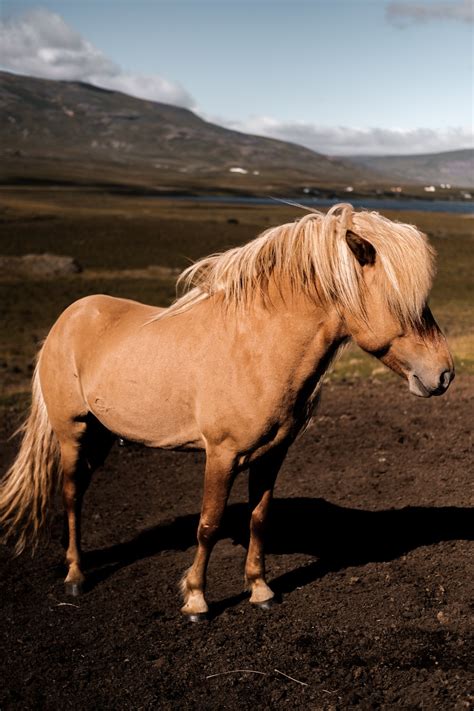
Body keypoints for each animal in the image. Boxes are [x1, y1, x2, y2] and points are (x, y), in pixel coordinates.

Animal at [0, 203, 454, 620]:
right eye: (398, 301)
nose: (444, 374)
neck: (257, 349)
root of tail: (68, 317)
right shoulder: (221, 455)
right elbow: (209, 525)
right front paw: (196, 600)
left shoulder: (272, 454)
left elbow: (259, 519)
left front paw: (260, 589)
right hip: (72, 431)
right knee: (72, 494)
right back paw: (76, 575)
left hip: (102, 434)